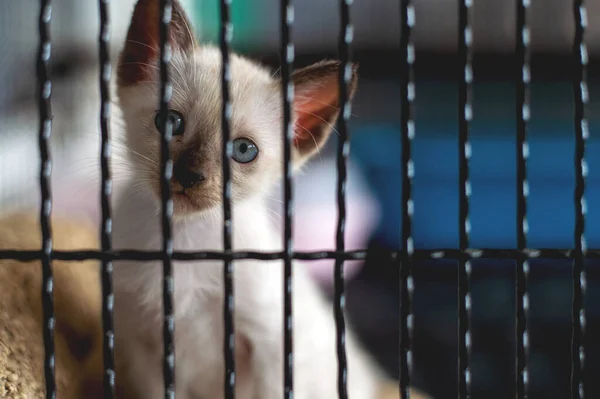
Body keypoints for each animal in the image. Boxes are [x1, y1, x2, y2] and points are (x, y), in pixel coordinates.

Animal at [110, 0, 384, 399]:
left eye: (243, 150)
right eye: (171, 122)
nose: (189, 176)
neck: (186, 242)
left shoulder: (273, 348)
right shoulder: (144, 346)